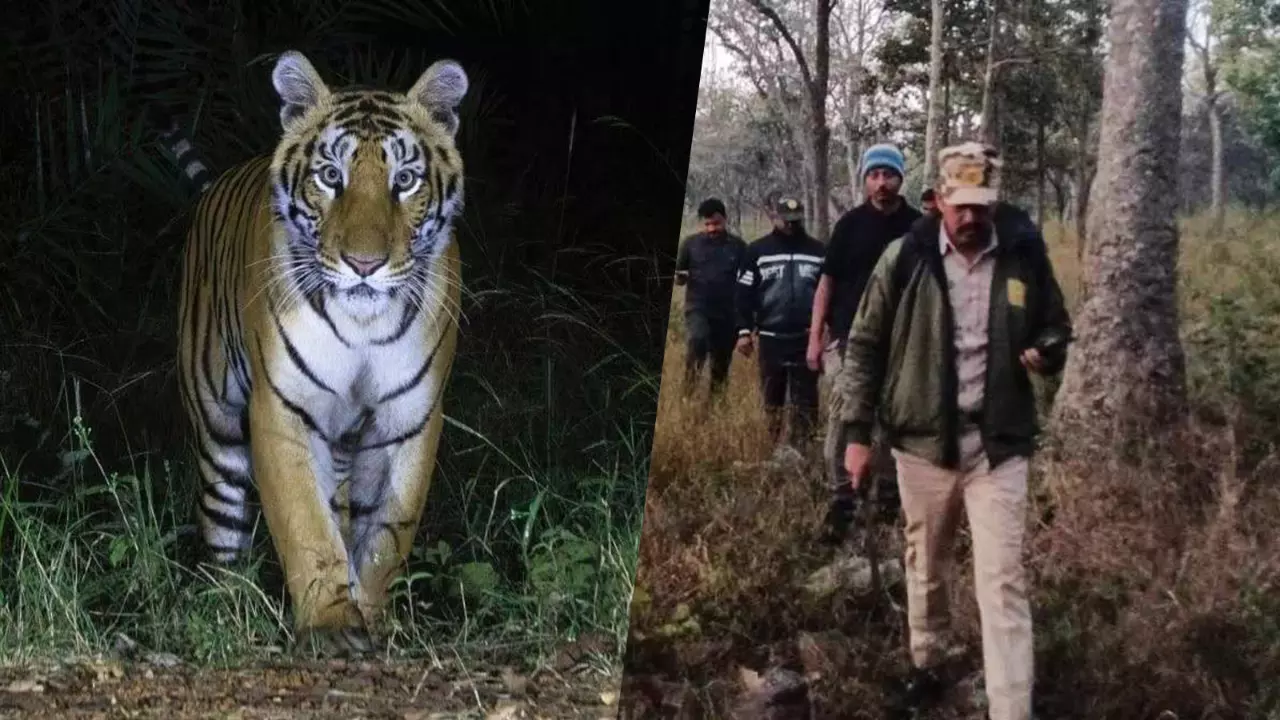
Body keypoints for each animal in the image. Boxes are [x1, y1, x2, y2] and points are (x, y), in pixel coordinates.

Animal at [167, 50, 468, 654]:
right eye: (332, 176)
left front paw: (370, 615)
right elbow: (304, 521)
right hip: (216, 425)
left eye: (405, 180)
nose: (365, 264)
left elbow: (384, 534)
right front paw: (329, 624)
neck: (363, 326)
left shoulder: (408, 418)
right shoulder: (283, 409)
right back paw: (225, 605)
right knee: (223, 520)